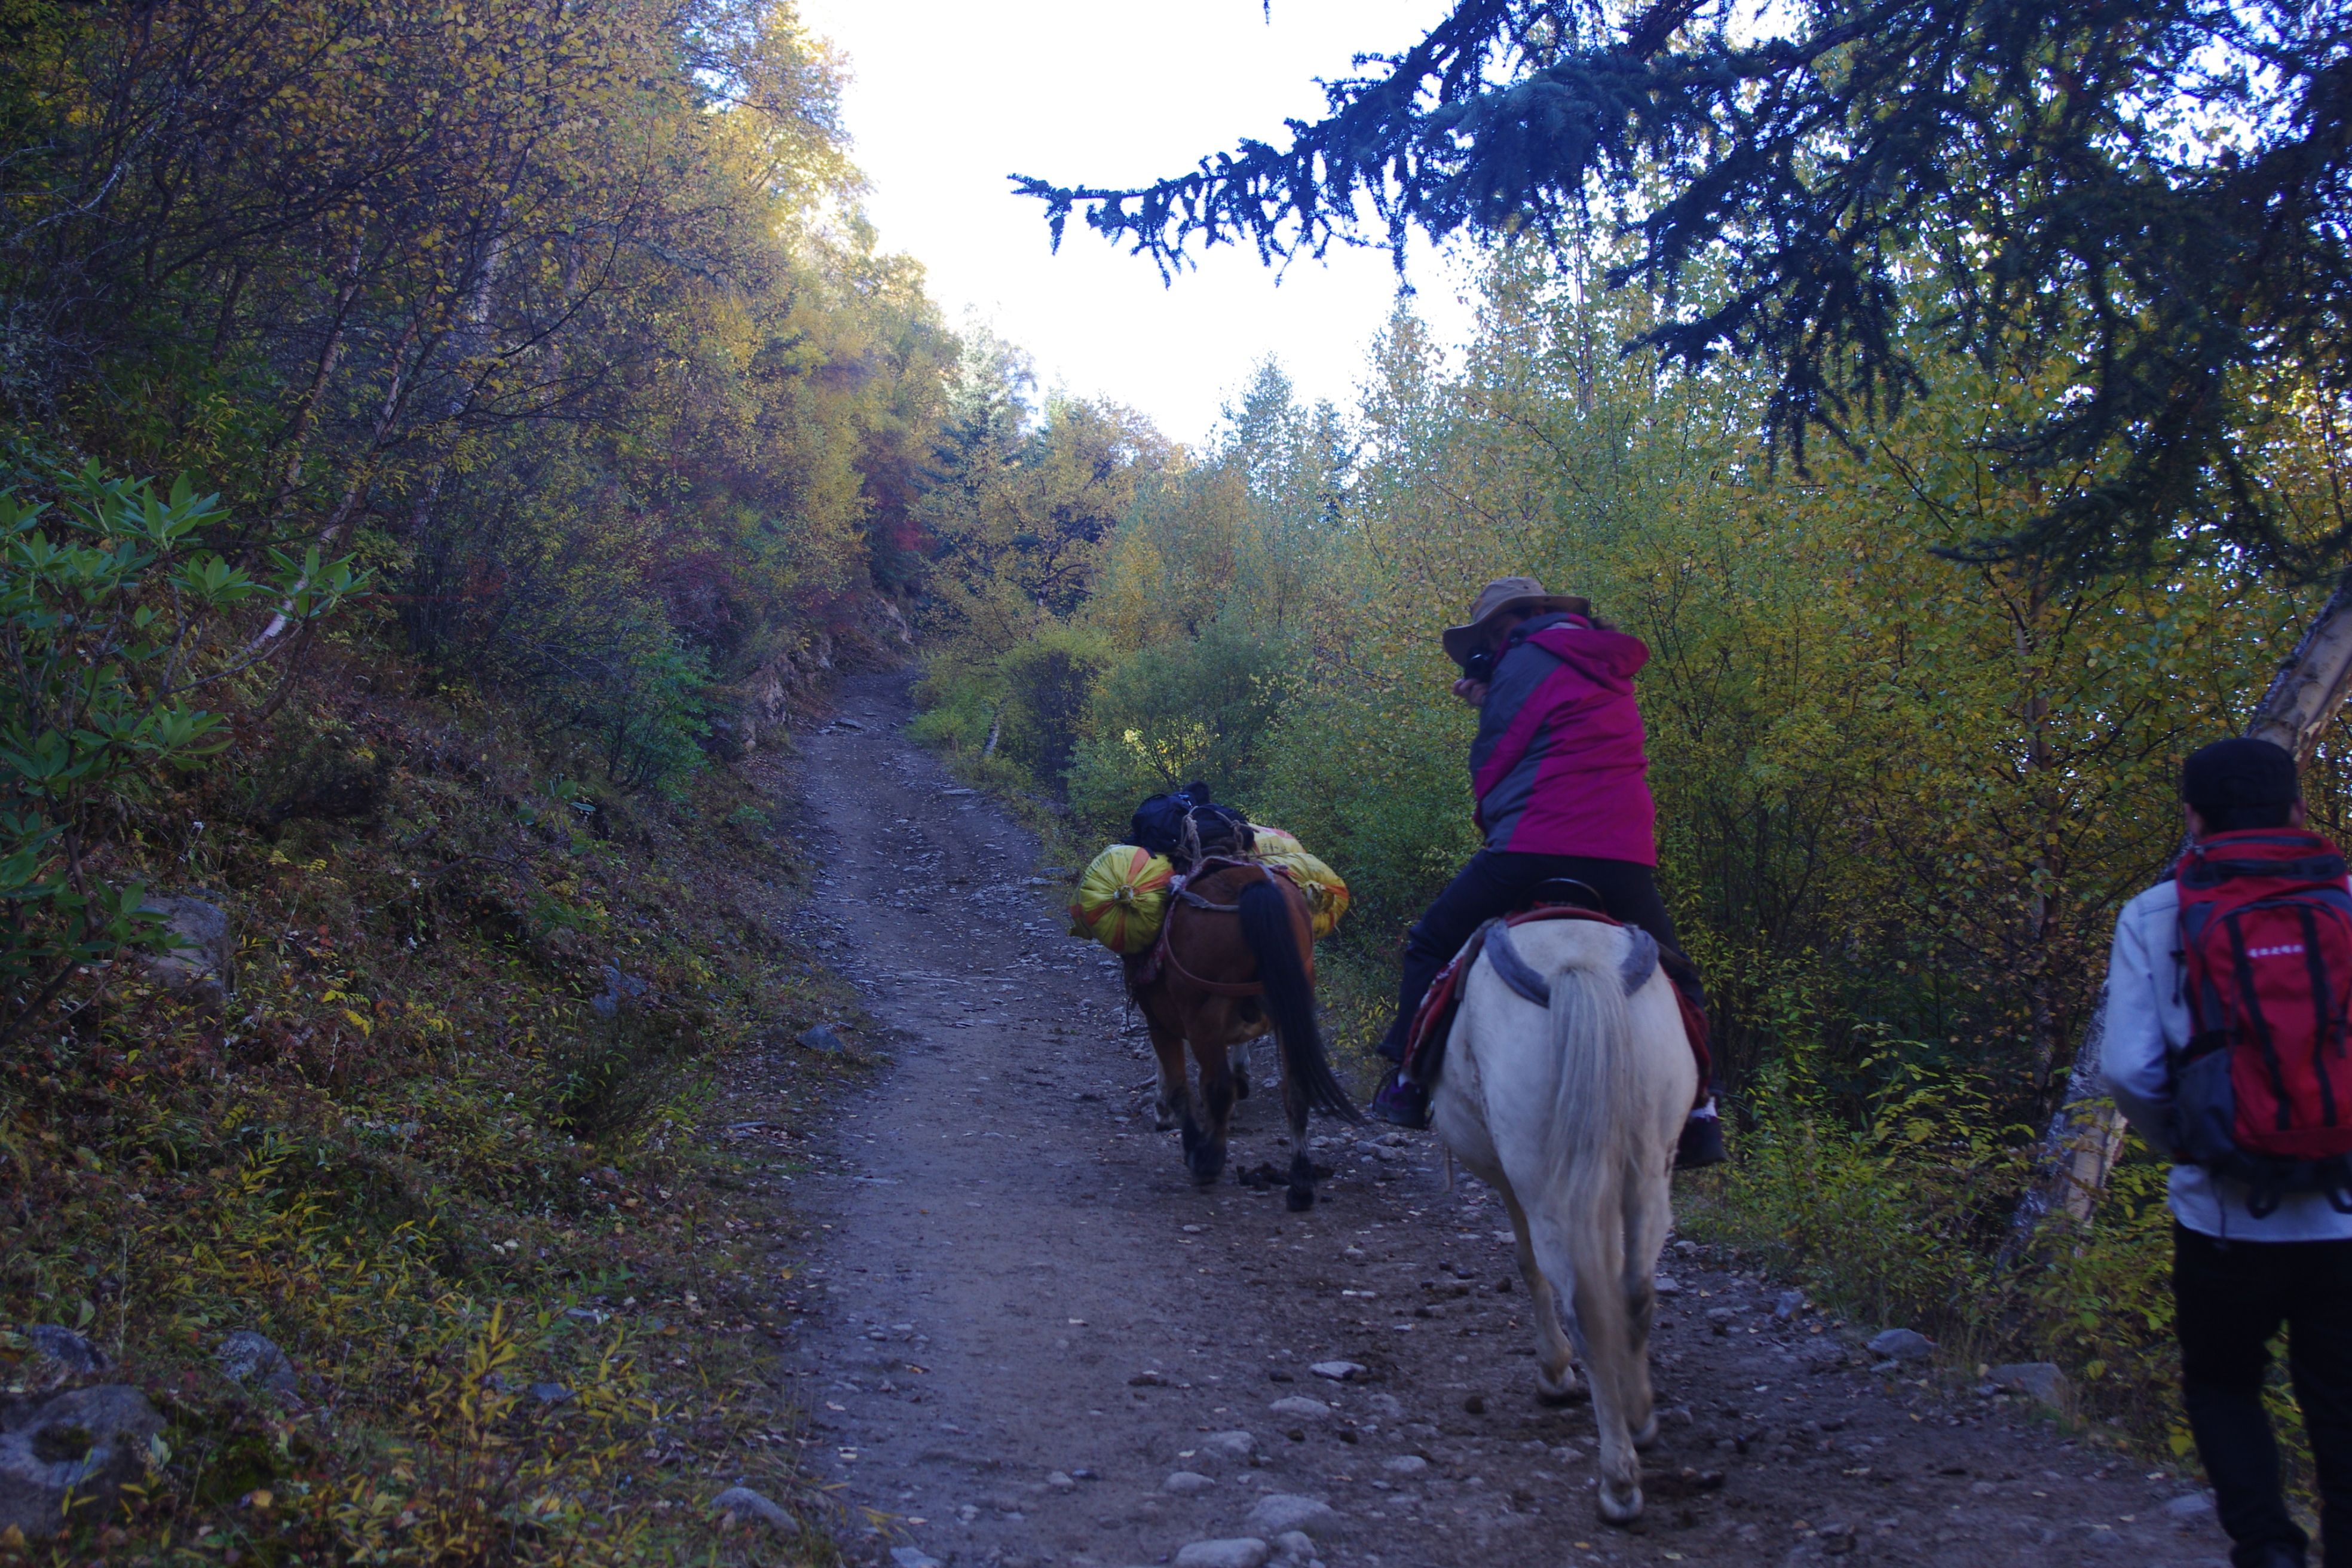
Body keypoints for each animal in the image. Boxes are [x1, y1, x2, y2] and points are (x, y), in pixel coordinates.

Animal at [1119, 860, 1364, 1212]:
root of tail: (1250, 890)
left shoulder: (1160, 1020)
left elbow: (1178, 1081)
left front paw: (1169, 1118)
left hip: (1203, 1018)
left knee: (1220, 1086)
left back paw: (1207, 1162)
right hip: (1291, 1010)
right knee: (1296, 1090)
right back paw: (1300, 1185)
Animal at [1420, 912, 1702, 1523]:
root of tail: (1580, 965)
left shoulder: (1511, 1180)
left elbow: (1528, 1267)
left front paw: (1553, 1370)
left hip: (1544, 1178)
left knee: (1586, 1306)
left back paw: (1618, 1480)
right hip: (1648, 1170)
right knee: (1634, 1292)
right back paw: (1639, 1419)